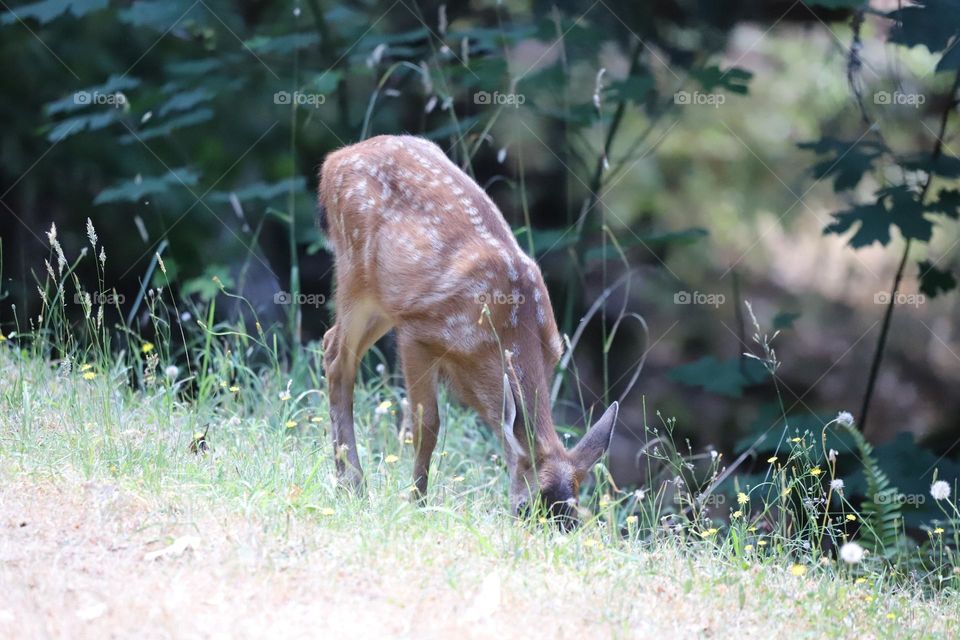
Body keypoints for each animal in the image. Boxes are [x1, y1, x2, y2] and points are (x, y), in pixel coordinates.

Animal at [318, 134, 620, 524]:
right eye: (525, 508)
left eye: (572, 521)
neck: (501, 336)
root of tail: (333, 161)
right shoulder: (417, 331)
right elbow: (427, 425)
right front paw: (418, 502)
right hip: (355, 274)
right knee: (338, 358)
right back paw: (353, 484)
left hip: (382, 301)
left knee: (330, 343)